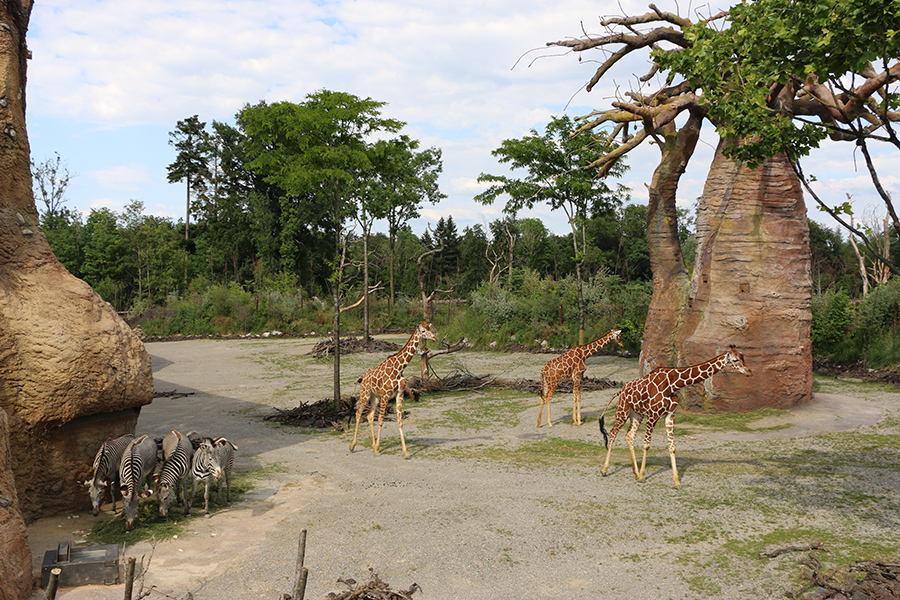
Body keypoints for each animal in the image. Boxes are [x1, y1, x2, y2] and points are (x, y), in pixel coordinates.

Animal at [349, 320, 437, 458]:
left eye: (430, 328)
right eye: (423, 331)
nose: (434, 337)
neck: (398, 369)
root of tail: (363, 377)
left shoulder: (399, 394)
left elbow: (400, 421)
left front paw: (405, 452)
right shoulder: (386, 395)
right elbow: (380, 420)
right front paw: (378, 449)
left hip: (375, 397)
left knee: (369, 415)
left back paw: (372, 446)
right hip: (365, 394)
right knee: (359, 413)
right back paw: (353, 446)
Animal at [598, 346, 752, 488]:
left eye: (743, 356)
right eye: (735, 360)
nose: (749, 372)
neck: (673, 384)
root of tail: (620, 390)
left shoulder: (670, 415)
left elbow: (672, 447)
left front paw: (676, 482)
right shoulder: (653, 415)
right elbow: (646, 445)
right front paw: (642, 477)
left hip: (637, 414)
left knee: (629, 435)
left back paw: (635, 473)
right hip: (622, 411)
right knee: (613, 432)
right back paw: (605, 470)